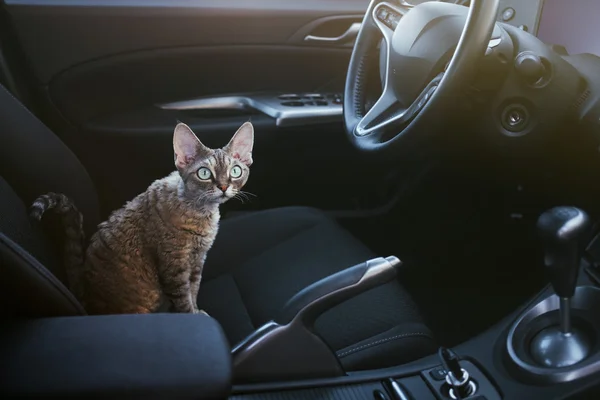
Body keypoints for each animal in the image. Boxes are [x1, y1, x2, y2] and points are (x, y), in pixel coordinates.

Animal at [29, 122, 253, 316]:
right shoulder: (174, 266)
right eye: (204, 173)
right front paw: (194, 316)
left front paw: (197, 308)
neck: (201, 212)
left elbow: (194, 289)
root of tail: (84, 292)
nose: (223, 187)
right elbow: (184, 299)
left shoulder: (198, 260)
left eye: (235, 171)